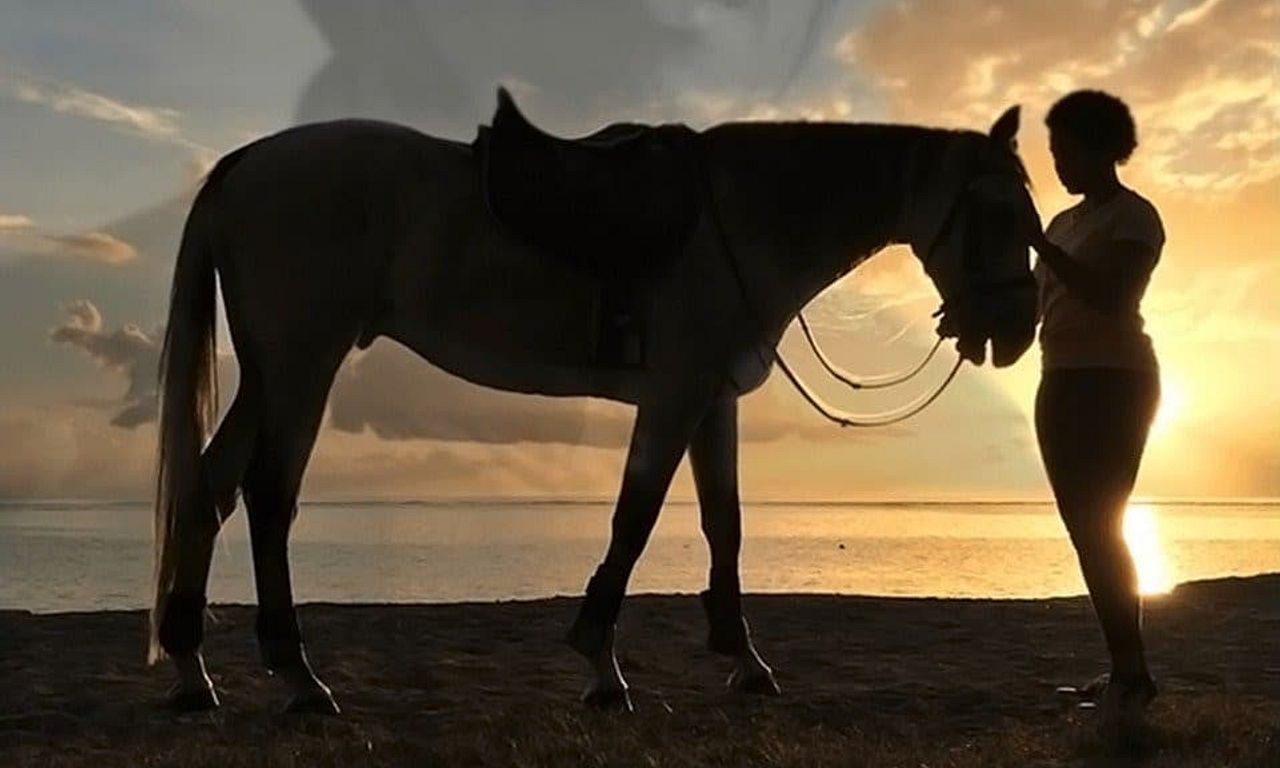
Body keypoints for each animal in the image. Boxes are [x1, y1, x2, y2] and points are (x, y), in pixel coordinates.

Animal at [149, 92, 1041, 714]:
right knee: (268, 497)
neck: (739, 217)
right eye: (996, 215)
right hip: (303, 362)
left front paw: (742, 660)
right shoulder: (676, 394)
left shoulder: (713, 399)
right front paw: (601, 666)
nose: (1017, 331)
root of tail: (242, 166)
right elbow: (635, 518)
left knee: (208, 489)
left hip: (271, 372)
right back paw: (299, 679)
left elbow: (724, 523)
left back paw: (192, 670)